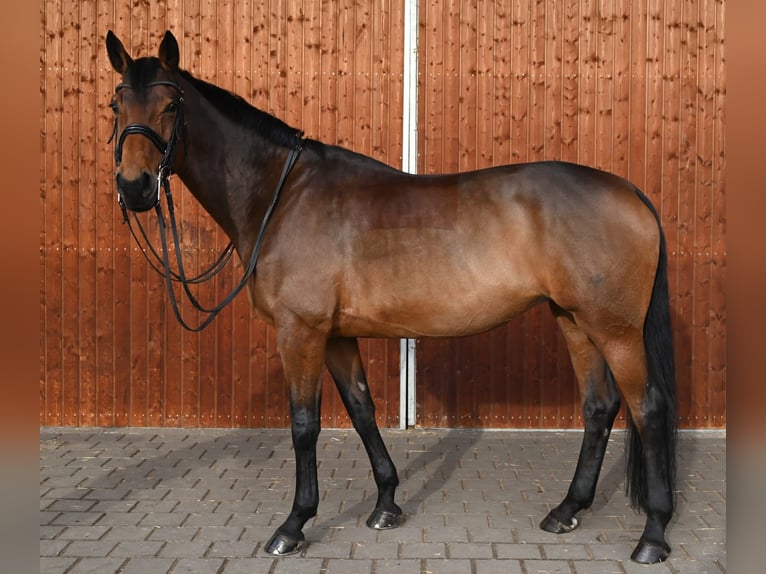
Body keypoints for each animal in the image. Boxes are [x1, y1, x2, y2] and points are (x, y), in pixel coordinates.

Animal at [108, 29, 680, 564]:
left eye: (171, 105)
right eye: (117, 105)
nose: (135, 188)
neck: (283, 195)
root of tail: (630, 193)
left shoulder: (301, 332)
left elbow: (304, 425)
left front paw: (293, 525)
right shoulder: (336, 336)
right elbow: (362, 410)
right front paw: (386, 503)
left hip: (615, 329)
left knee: (647, 409)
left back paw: (653, 535)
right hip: (574, 319)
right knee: (600, 407)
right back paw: (567, 510)